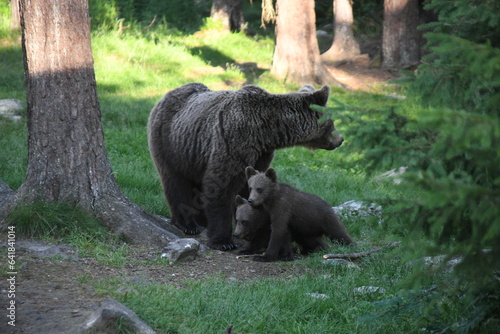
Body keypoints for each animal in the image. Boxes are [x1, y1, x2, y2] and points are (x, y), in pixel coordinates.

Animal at [148, 83, 344, 250]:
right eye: (332, 122)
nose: (341, 139)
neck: (267, 132)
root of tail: (167, 95)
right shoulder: (234, 141)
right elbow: (221, 186)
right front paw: (224, 241)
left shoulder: (262, 154)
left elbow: (250, 185)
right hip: (171, 144)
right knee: (176, 182)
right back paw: (188, 224)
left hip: (194, 154)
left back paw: (202, 221)